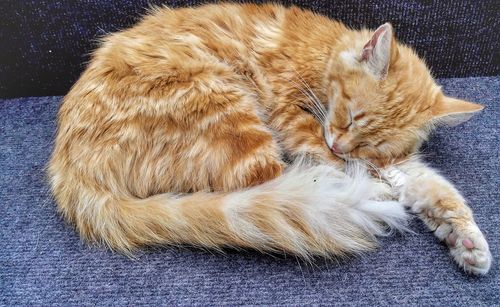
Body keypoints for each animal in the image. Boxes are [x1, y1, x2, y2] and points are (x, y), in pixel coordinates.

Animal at [47, 2, 492, 276]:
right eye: (349, 118)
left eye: (371, 141)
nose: (340, 146)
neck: (324, 51)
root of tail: (71, 172)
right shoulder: (291, 117)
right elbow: (340, 160)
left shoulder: (390, 161)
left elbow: (432, 186)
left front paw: (466, 239)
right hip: (231, 112)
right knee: (277, 182)